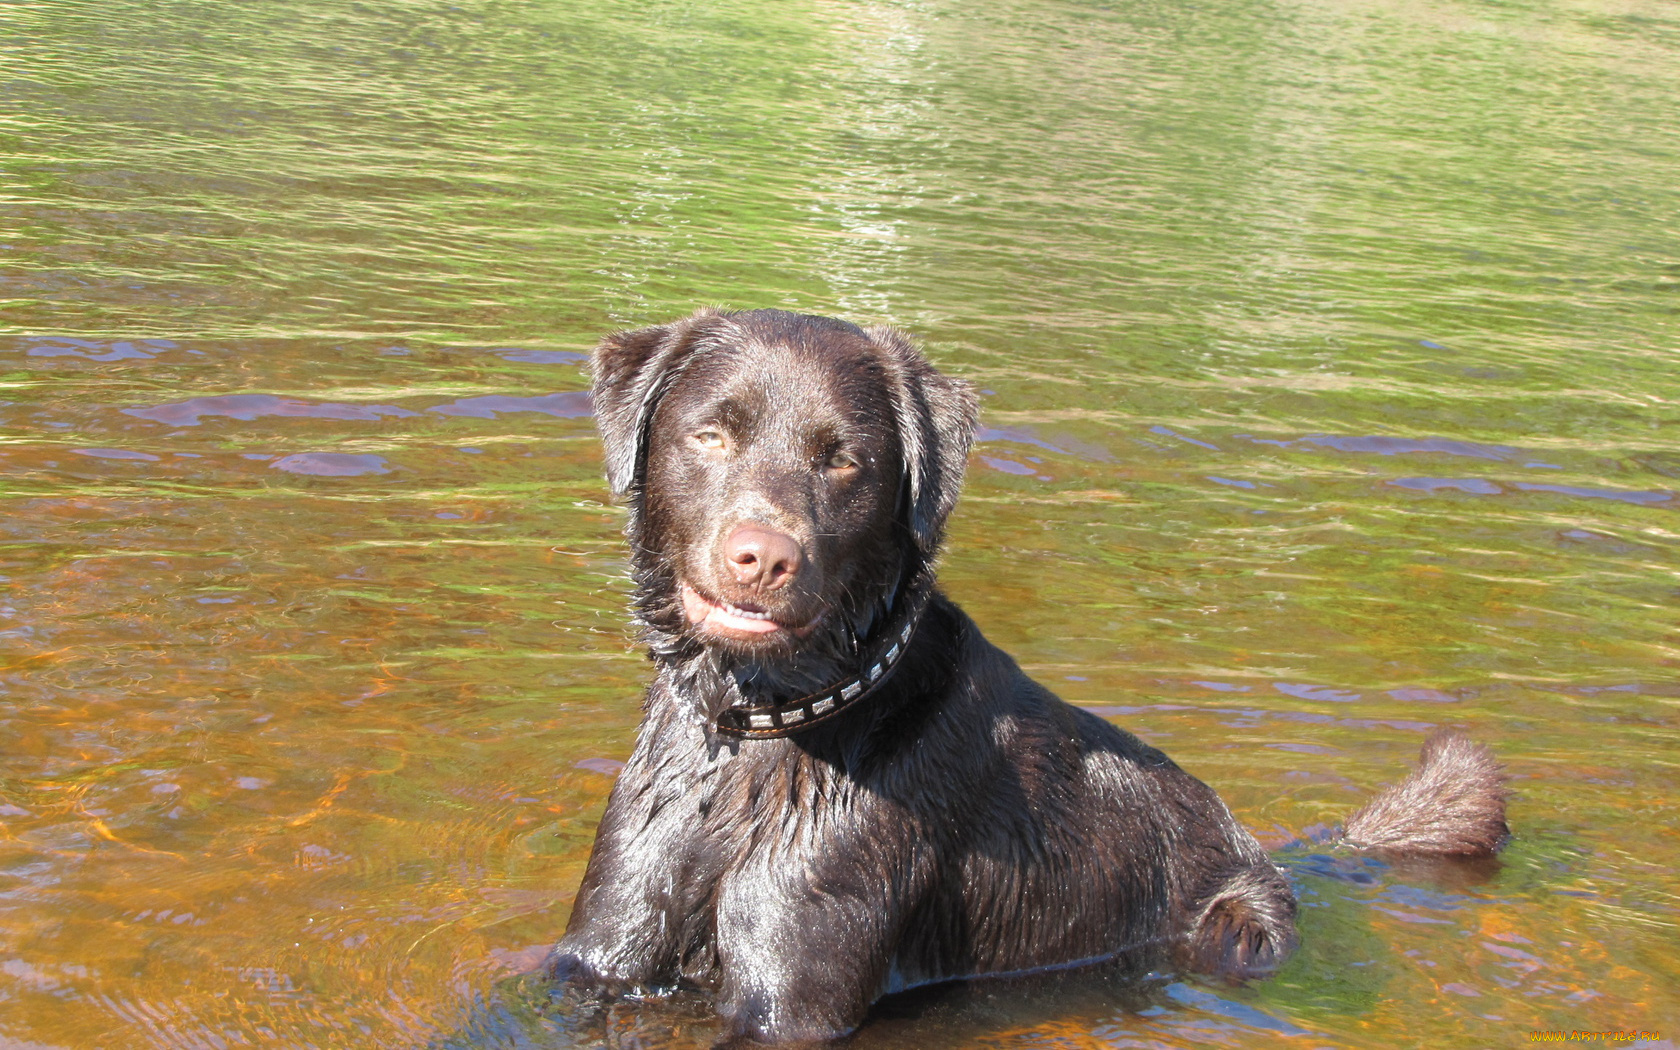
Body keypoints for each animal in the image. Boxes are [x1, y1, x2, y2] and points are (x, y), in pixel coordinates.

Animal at [547, 307, 1512, 1041]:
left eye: (844, 458)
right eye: (710, 433)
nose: (763, 558)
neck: (751, 735)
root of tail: (1272, 849)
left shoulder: (794, 997)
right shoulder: (597, 953)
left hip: (1238, 929)